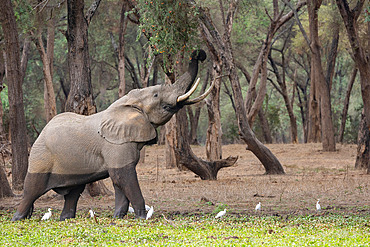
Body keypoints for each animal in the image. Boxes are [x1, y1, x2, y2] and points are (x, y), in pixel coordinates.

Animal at [12, 49, 211, 221]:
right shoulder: (115, 145)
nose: (199, 54)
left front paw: (118, 217)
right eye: (156, 95)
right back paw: (18, 218)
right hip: (41, 156)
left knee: (74, 192)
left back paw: (65, 219)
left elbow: (120, 180)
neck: (125, 103)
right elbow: (123, 176)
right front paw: (141, 217)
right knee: (32, 189)